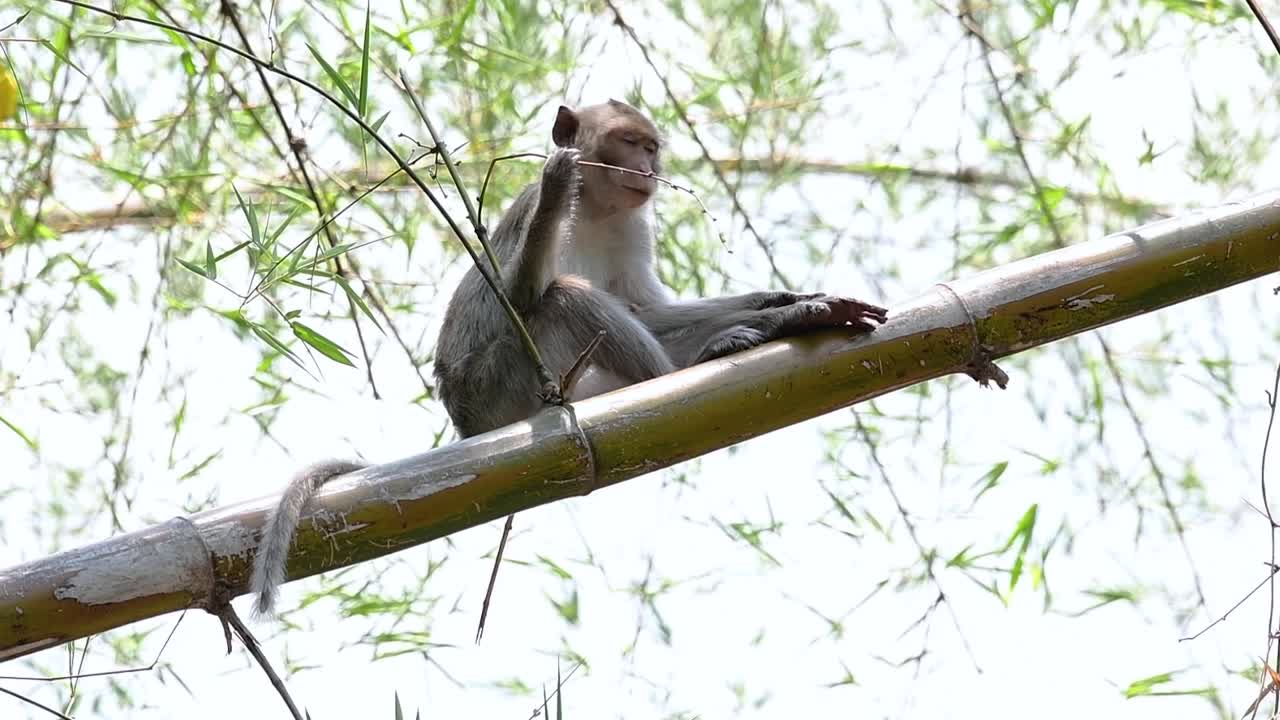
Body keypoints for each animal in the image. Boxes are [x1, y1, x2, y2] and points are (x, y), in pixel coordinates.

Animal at [247, 99, 887, 617]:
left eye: (651, 146)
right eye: (629, 142)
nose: (649, 169)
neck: (601, 209)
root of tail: (467, 426)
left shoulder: (635, 225)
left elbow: (647, 308)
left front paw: (784, 300)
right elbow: (520, 294)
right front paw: (560, 185)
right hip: (502, 384)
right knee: (562, 297)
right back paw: (688, 368)